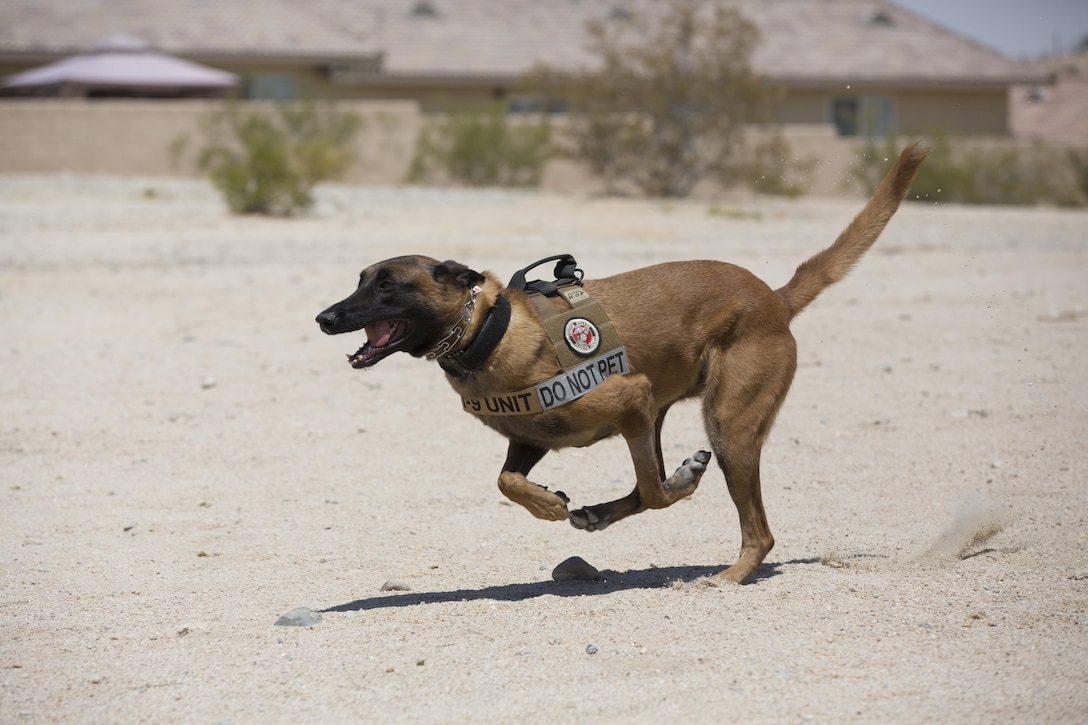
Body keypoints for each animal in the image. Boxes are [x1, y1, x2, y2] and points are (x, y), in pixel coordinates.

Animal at [315, 141, 926, 583]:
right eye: (360, 279)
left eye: (387, 285)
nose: (324, 317)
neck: (486, 330)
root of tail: (774, 298)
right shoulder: (535, 435)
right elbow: (507, 480)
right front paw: (548, 504)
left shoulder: (630, 397)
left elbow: (658, 495)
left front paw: (675, 485)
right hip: (663, 415)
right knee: (650, 483)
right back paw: (608, 510)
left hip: (726, 425)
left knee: (754, 528)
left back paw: (728, 573)